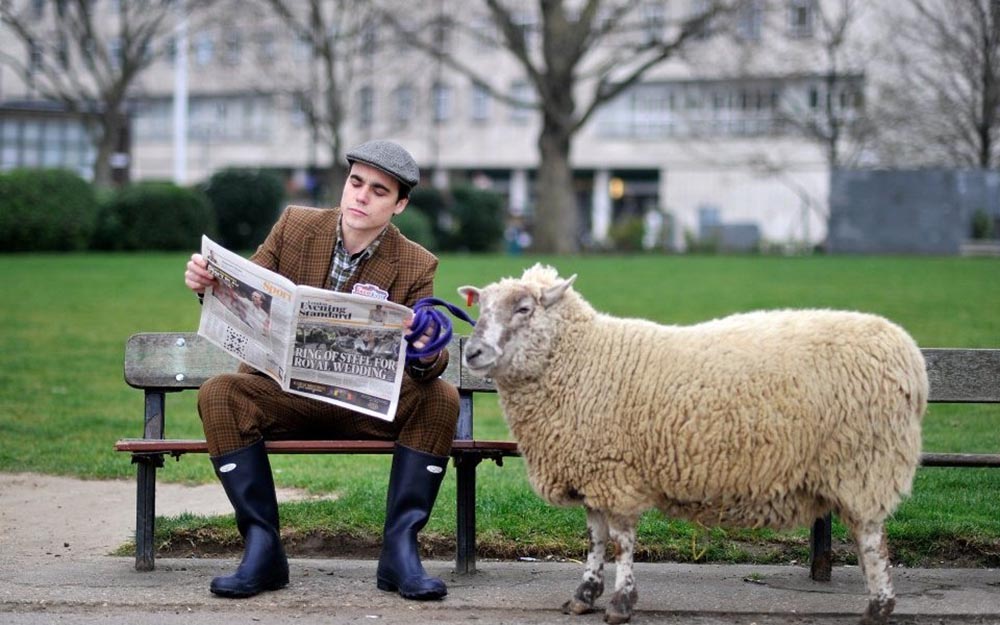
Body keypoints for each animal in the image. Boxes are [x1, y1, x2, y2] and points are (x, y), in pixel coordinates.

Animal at [458, 264, 927, 625]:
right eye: (481, 308)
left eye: (524, 308)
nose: (472, 352)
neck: (581, 360)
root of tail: (909, 355)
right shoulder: (594, 469)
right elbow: (594, 538)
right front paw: (584, 596)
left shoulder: (617, 471)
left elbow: (621, 541)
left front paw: (621, 603)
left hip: (864, 463)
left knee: (871, 540)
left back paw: (878, 609)